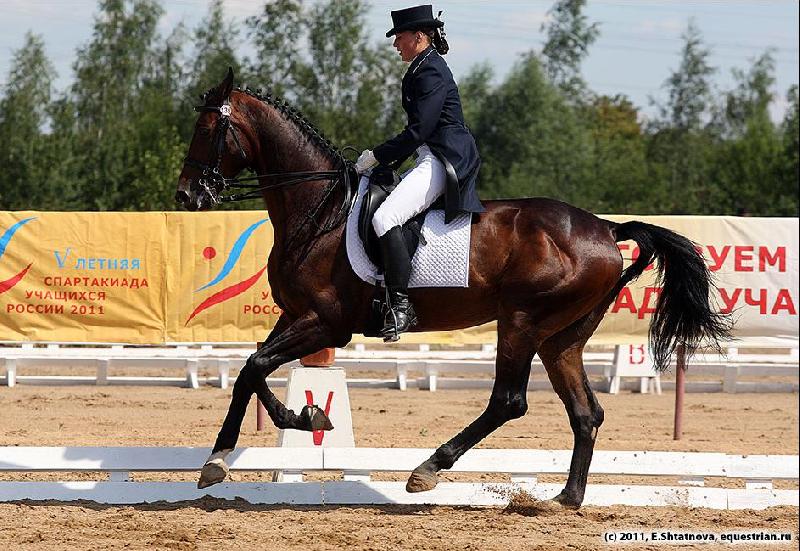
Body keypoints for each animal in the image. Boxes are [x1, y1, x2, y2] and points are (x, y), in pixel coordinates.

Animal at [176, 69, 730, 508]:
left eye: (206, 129)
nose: (186, 196)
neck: (321, 210)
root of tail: (605, 229)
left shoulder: (327, 323)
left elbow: (255, 366)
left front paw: (245, 446)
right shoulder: (295, 316)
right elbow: (252, 369)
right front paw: (293, 421)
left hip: (521, 323)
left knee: (509, 401)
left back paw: (428, 470)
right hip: (561, 338)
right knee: (584, 412)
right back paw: (564, 499)